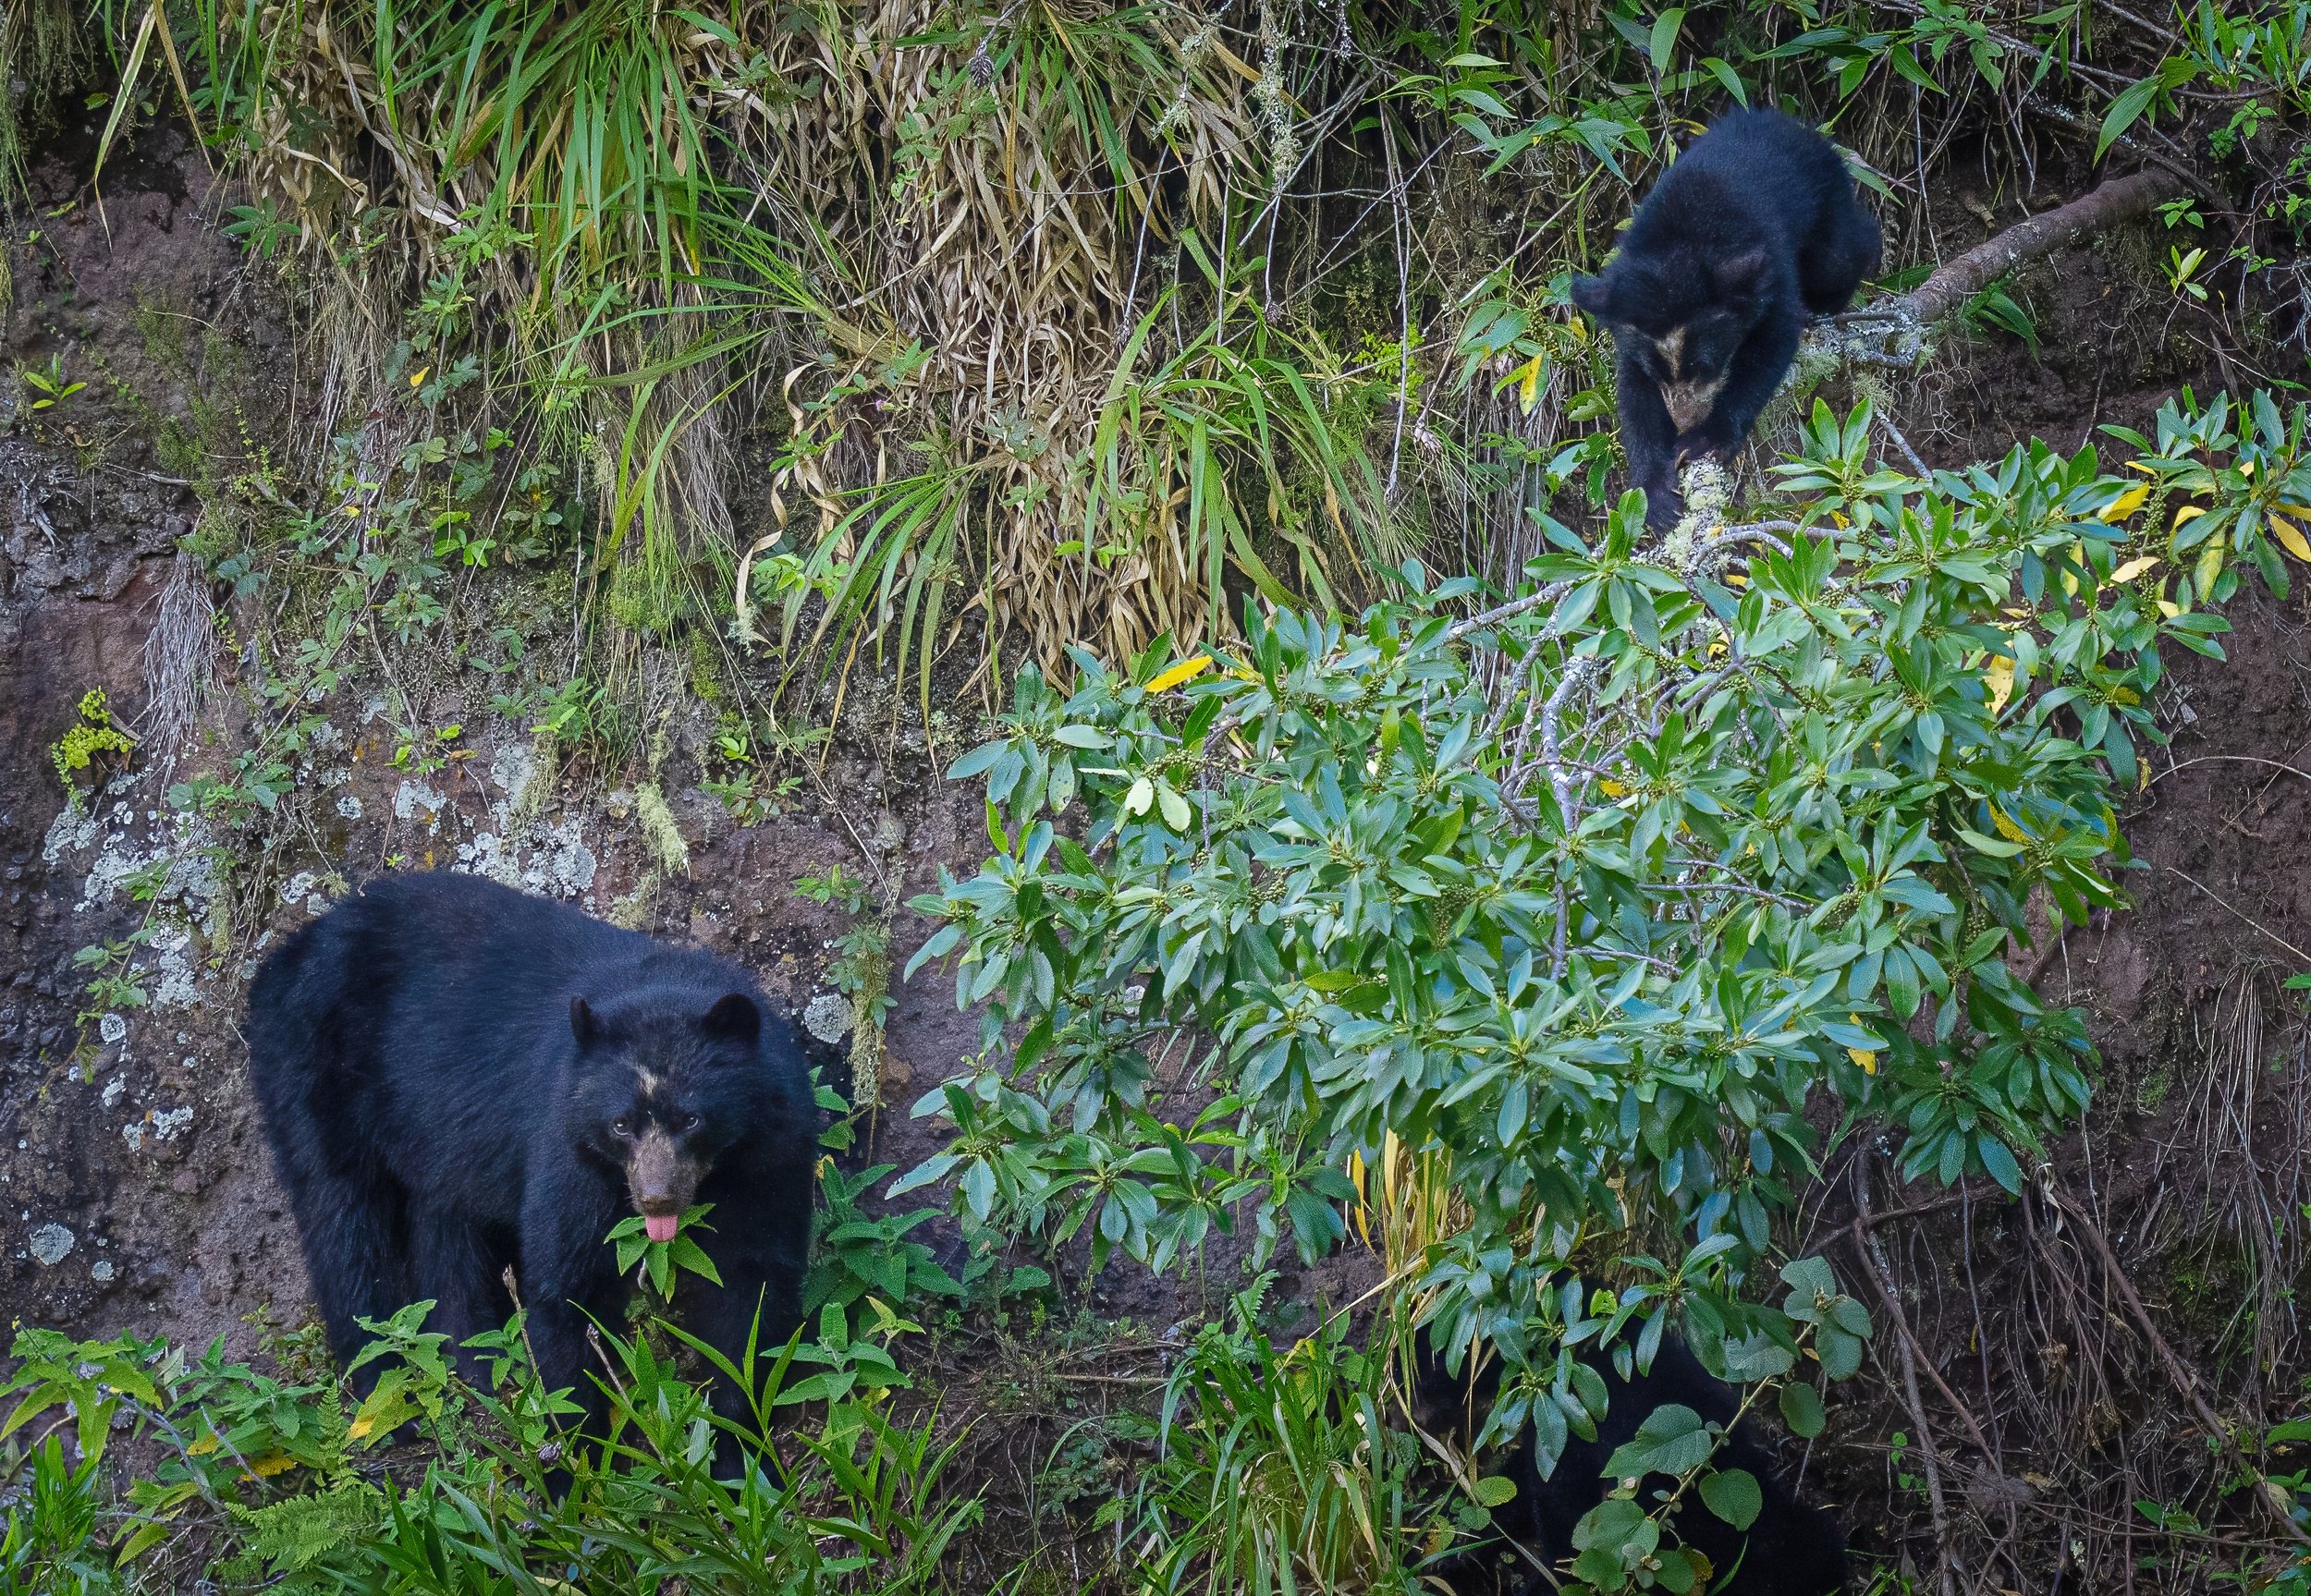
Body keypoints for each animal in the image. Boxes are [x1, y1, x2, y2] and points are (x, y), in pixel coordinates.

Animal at [247, 870, 815, 1464]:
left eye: (691, 1119)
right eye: (620, 1124)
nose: (657, 1197)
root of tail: (285, 954)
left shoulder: (770, 1153)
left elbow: (751, 1281)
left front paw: (737, 1451)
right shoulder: (568, 1143)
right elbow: (567, 1282)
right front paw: (583, 1460)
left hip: (439, 1136)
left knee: (444, 1229)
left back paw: (472, 1362)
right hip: (309, 1065)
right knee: (342, 1217)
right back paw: (386, 1390)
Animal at [1571, 107, 1882, 529]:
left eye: (1704, 366)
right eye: (1659, 373)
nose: (1683, 422)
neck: (1681, 243)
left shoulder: (1769, 267)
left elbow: (1769, 348)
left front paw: (1705, 439)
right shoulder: (1630, 321)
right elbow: (1634, 394)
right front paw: (1657, 496)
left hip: (1824, 203)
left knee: (1839, 259)